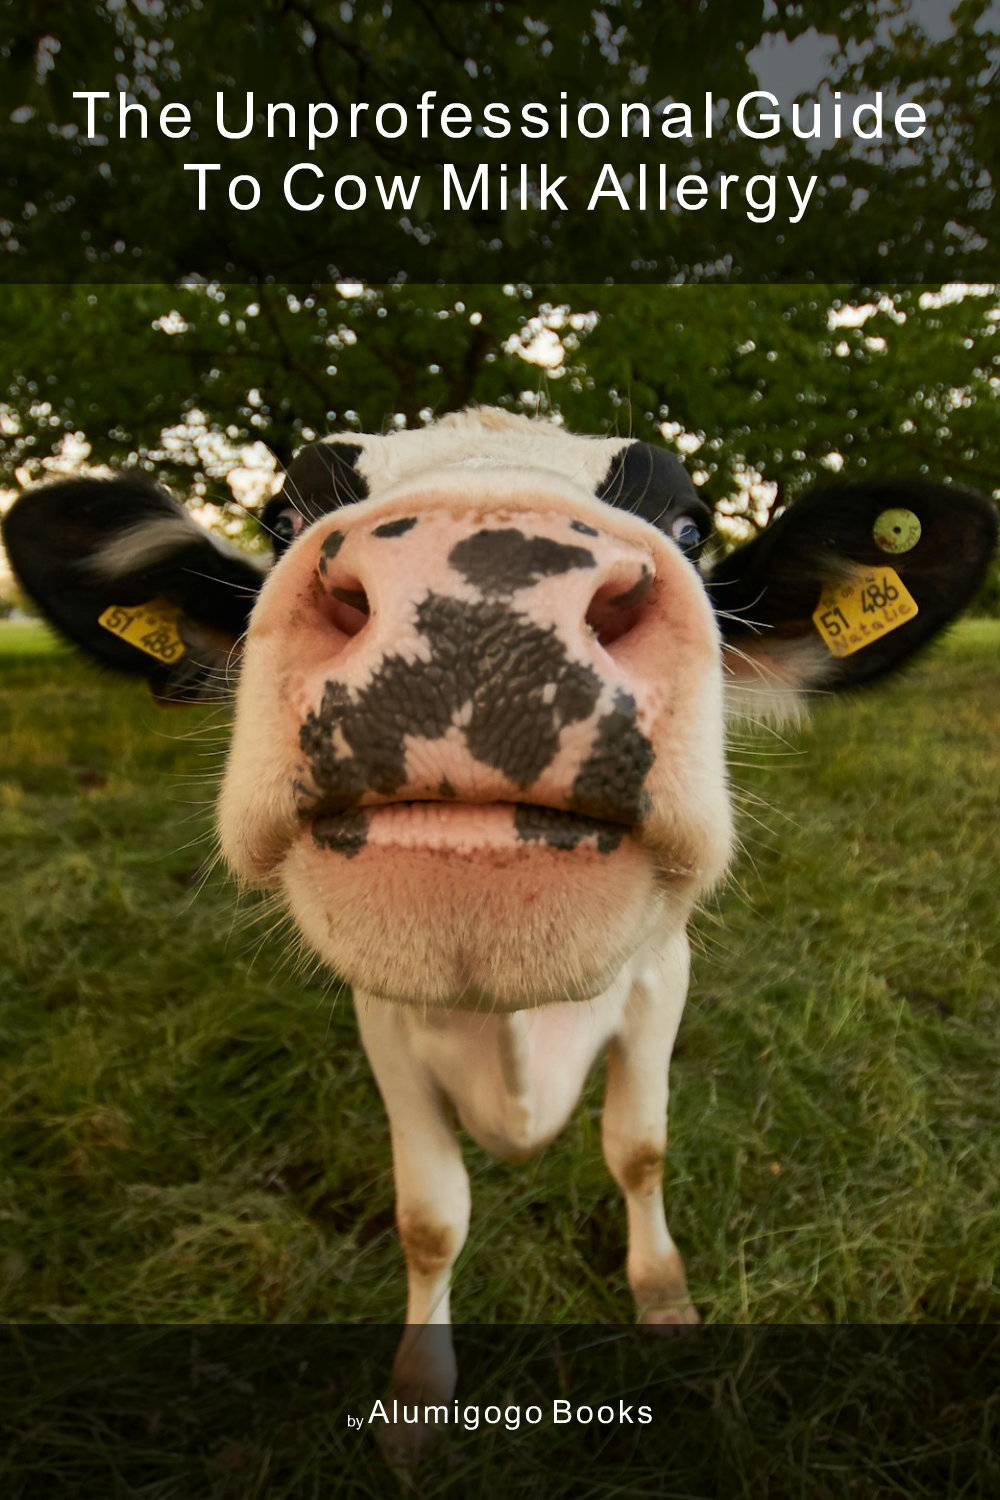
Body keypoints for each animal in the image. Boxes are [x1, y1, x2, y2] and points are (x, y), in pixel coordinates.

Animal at [3, 408, 996, 1435]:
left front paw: (663, 1293)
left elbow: (639, 1150)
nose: (476, 598)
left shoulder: (660, 980)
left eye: (691, 526)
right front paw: (418, 1392)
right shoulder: (386, 1023)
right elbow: (430, 1217)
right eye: (283, 519)